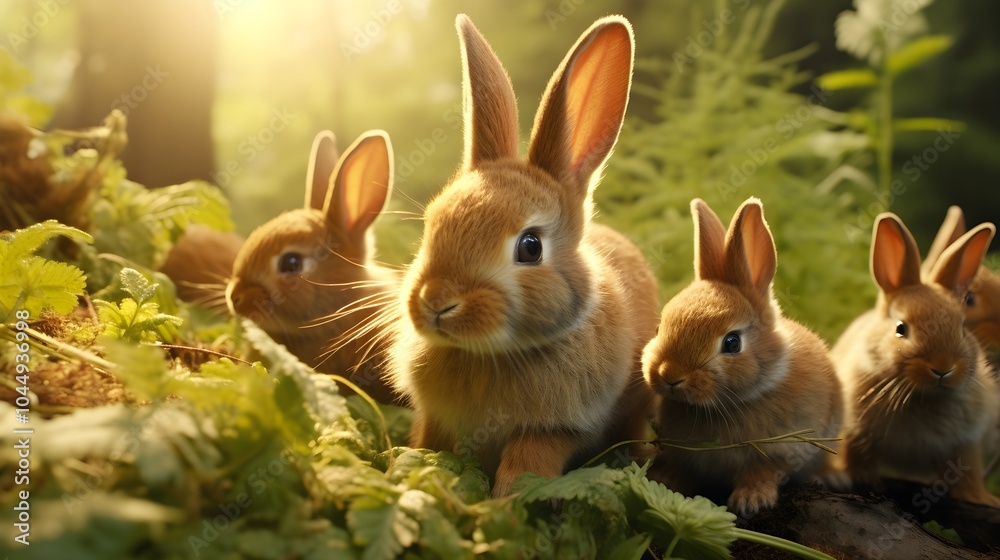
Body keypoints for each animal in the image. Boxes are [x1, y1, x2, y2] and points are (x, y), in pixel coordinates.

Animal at [387, 14, 659, 498]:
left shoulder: (554, 430)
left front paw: (503, 504)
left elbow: (527, 465)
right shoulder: (437, 418)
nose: (436, 302)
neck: (491, 354)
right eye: (432, 224)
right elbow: (428, 445)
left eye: (530, 247)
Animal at [640, 197, 844, 517]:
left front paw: (751, 501)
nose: (669, 376)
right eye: (660, 327)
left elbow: (762, 470)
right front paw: (662, 481)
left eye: (732, 343)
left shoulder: (782, 449)